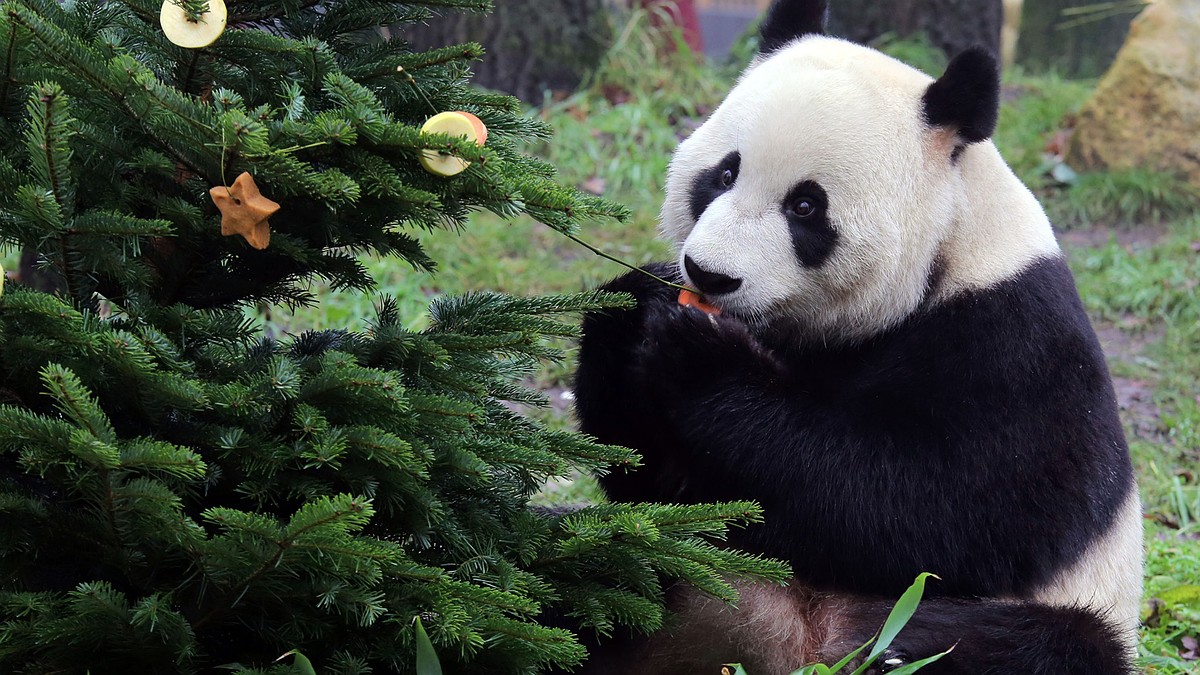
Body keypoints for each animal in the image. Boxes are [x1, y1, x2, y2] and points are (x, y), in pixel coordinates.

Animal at [571, 0, 1142, 667]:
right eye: (724, 173)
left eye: (806, 206)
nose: (709, 274)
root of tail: (787, 645)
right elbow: (662, 488)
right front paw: (634, 304)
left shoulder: (1015, 339)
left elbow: (939, 505)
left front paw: (703, 361)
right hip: (683, 578)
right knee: (598, 567)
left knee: (1049, 645)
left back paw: (895, 651)